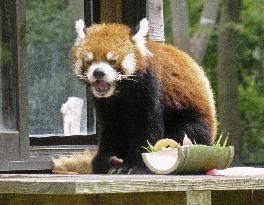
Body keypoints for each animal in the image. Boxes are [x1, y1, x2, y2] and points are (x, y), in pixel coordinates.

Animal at [70, 18, 217, 174]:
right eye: (89, 61)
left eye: (112, 61)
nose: (98, 72)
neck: (121, 91)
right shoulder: (107, 104)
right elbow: (112, 128)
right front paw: (104, 160)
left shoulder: (149, 87)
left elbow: (146, 128)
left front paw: (134, 165)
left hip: (194, 123)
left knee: (186, 131)